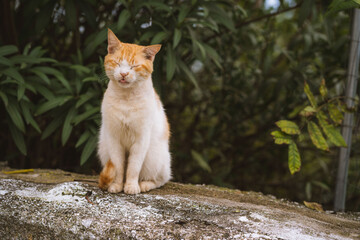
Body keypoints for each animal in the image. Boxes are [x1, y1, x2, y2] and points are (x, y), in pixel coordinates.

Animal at [98, 29, 172, 194]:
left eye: (134, 66)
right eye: (118, 63)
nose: (124, 74)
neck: (126, 99)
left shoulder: (141, 139)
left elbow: (133, 167)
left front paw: (131, 186)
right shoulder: (114, 138)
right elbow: (119, 167)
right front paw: (117, 185)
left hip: (153, 158)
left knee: (161, 179)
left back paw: (144, 185)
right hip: (104, 147)